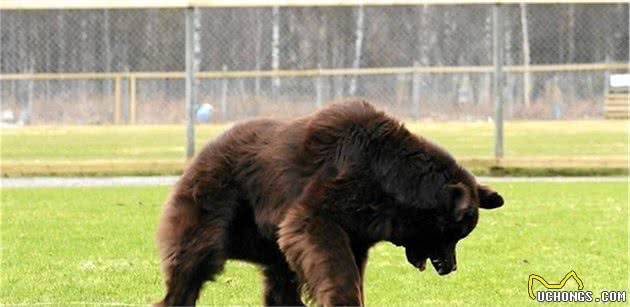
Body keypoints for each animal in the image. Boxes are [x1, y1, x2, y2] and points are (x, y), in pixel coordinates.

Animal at [156, 101, 506, 307]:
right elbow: (328, 251)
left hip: (264, 237)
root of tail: (205, 150)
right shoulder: (331, 196)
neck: (391, 182)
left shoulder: (360, 229)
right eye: (453, 234)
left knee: (280, 278)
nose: (450, 267)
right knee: (194, 259)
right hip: (219, 201)